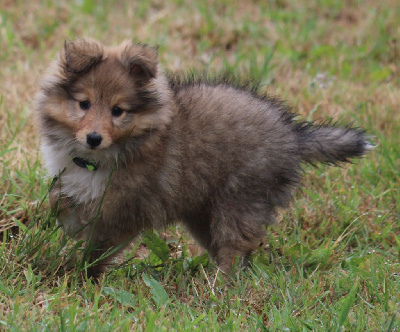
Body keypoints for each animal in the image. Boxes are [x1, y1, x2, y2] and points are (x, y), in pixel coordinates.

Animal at [34, 39, 372, 276]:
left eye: (118, 110)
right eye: (84, 104)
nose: (93, 138)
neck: (96, 159)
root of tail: (293, 136)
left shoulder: (124, 212)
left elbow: (98, 251)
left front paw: (84, 277)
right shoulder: (73, 183)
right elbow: (57, 198)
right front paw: (63, 222)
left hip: (240, 201)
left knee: (235, 248)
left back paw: (220, 287)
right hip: (201, 212)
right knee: (227, 250)